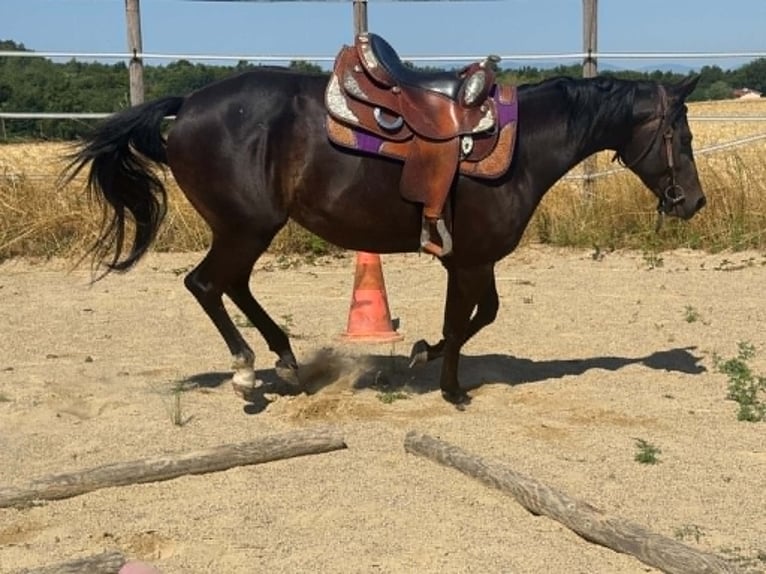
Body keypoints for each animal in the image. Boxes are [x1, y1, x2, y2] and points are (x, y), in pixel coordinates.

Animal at [63, 67, 706, 406]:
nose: (693, 202)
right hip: (245, 227)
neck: (520, 147)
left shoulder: (469, 260)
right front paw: (450, 387)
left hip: (248, 229)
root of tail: (189, 103)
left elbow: (477, 317)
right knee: (206, 284)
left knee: (232, 286)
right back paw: (247, 370)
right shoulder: (470, 260)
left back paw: (287, 361)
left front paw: (426, 356)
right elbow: (465, 321)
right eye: (681, 133)